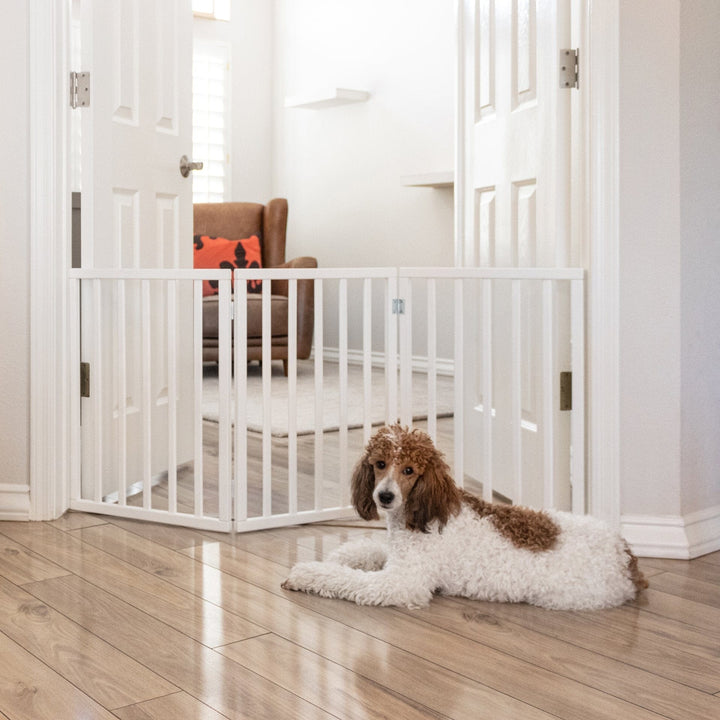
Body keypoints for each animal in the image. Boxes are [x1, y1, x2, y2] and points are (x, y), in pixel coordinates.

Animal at [282, 424, 648, 612]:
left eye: (409, 470)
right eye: (379, 464)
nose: (384, 497)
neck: (422, 512)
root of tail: (627, 557)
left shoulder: (401, 582)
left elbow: (345, 579)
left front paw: (305, 573)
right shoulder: (399, 552)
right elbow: (369, 550)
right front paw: (342, 555)